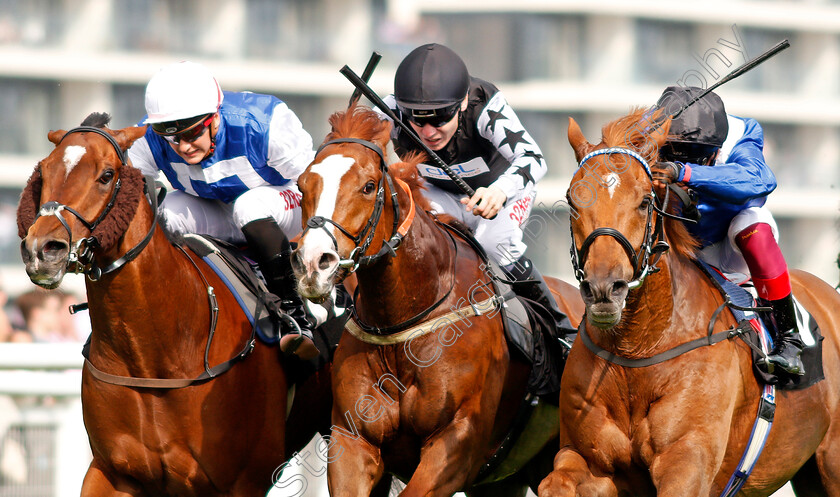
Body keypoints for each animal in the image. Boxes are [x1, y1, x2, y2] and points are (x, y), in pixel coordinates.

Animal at [290, 106, 584, 494]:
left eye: (368, 187)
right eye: (302, 185)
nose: (313, 264)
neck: (404, 320)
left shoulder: (455, 443)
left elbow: (527, 155)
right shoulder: (352, 440)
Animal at [540, 109, 836, 496]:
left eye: (645, 201)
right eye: (574, 200)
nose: (604, 289)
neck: (638, 347)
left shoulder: (687, 461)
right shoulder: (586, 459)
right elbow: (554, 482)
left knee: (750, 225)